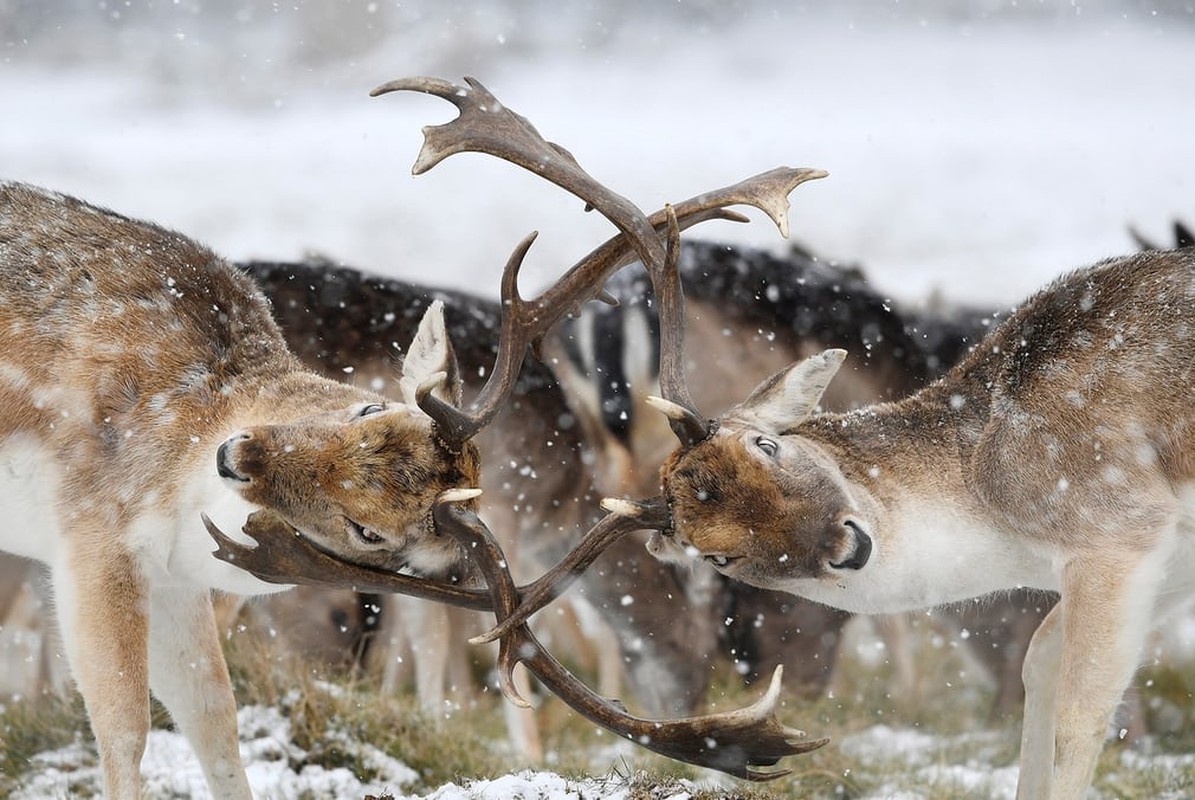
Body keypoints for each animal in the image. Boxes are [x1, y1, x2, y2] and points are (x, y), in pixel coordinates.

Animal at [645, 245, 1195, 798]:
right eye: (718, 556)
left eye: (766, 445)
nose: (848, 546)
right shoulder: (1163, 563)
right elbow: (1037, 665)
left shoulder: (1117, 528)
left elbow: (1078, 718)